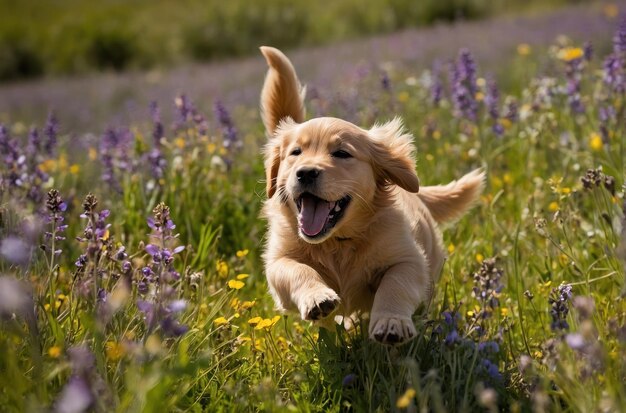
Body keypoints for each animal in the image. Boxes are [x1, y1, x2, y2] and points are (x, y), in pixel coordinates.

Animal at [258, 46, 482, 344]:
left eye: (342, 153)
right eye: (295, 152)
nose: (305, 173)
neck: (337, 242)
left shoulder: (409, 259)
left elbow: (394, 284)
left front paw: (391, 322)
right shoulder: (278, 261)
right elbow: (297, 270)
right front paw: (318, 297)